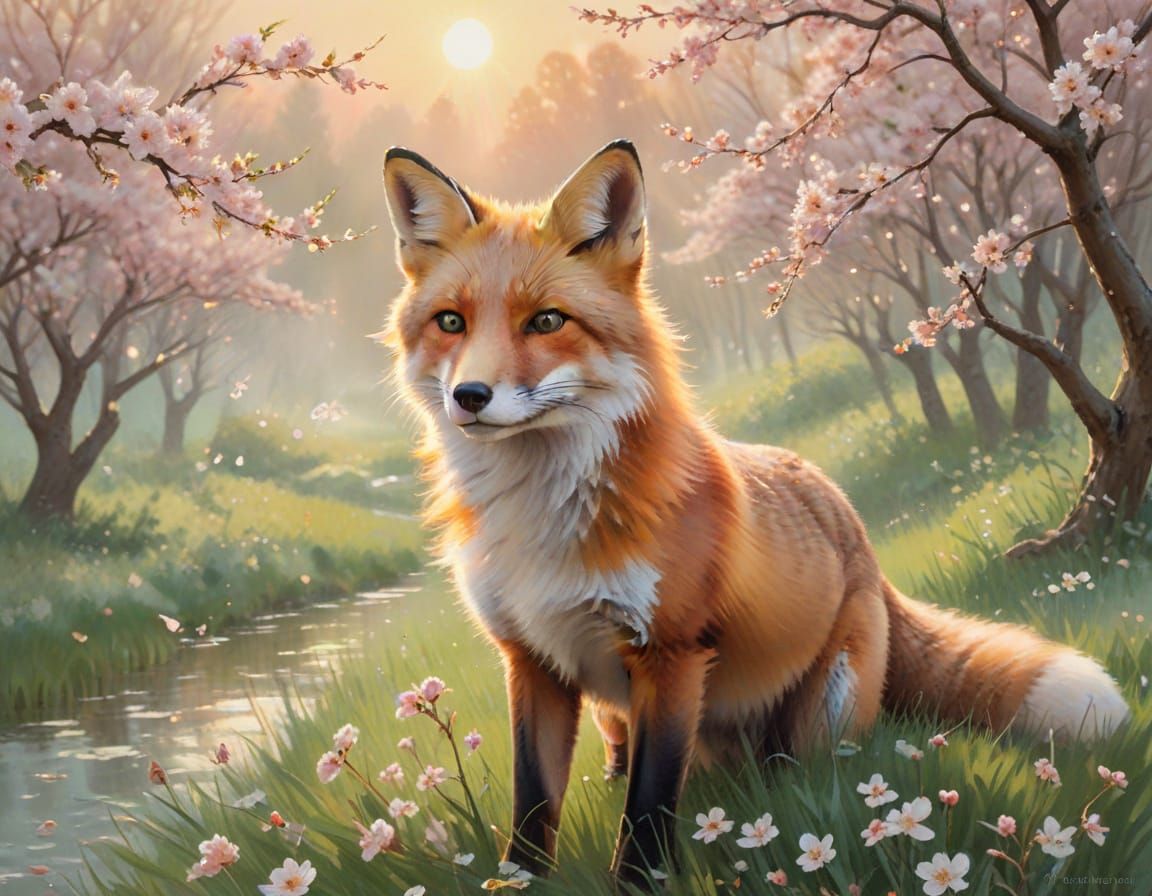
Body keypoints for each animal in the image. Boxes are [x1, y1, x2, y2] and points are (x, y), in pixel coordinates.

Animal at [382, 139, 1129, 886]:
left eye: (545, 321)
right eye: (451, 322)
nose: (470, 396)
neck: (539, 519)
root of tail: (845, 511)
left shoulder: (672, 654)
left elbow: (648, 807)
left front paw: (639, 883)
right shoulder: (531, 659)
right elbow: (534, 800)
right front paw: (518, 880)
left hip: (826, 703)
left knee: (806, 767)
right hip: (612, 712)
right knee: (629, 759)